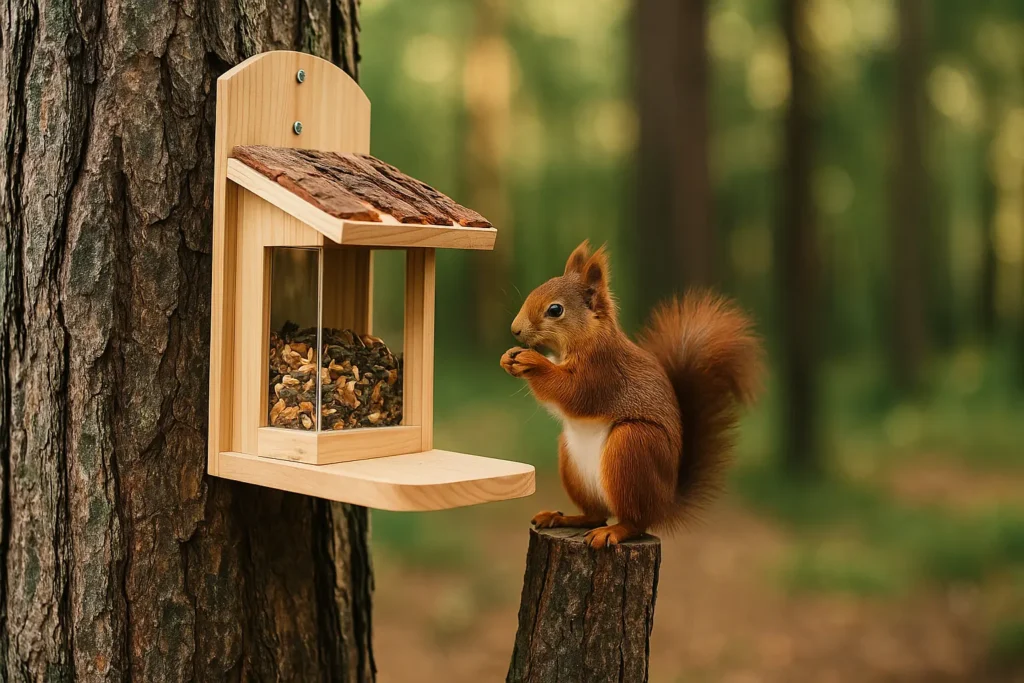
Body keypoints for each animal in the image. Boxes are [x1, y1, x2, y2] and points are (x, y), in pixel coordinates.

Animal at [500, 241, 764, 548]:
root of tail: (665, 503)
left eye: (555, 310)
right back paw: (562, 518)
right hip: (573, 462)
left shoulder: (603, 371)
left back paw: (614, 531)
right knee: (595, 515)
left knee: (635, 521)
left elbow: (573, 393)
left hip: (632, 445)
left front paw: (532, 361)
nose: (515, 330)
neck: (585, 338)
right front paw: (509, 357)